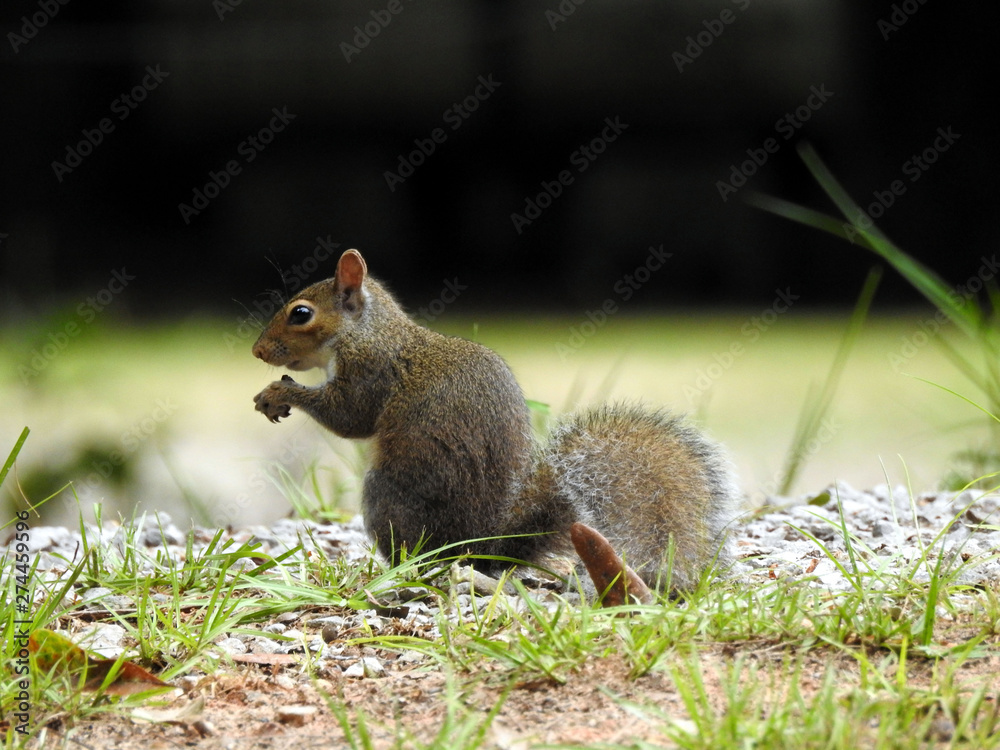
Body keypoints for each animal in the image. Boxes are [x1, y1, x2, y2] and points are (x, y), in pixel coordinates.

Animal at [252, 249, 739, 599]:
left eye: (300, 313)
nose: (257, 351)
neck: (368, 331)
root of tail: (486, 544)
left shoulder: (370, 370)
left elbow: (350, 417)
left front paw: (279, 393)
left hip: (387, 497)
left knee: (425, 557)